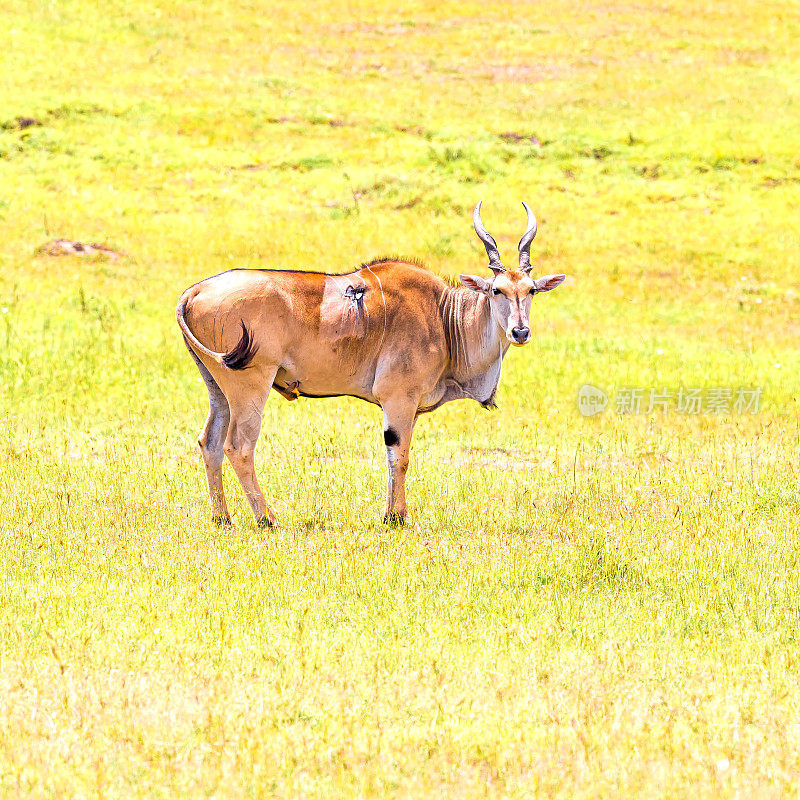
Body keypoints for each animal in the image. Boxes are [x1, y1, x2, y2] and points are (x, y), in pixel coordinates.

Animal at [177, 202, 564, 524]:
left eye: (530, 290)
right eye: (497, 290)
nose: (520, 331)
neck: (443, 316)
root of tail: (194, 291)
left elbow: (393, 456)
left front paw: (390, 515)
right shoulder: (398, 398)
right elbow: (401, 456)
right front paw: (398, 518)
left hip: (217, 386)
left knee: (210, 442)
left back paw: (222, 518)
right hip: (250, 384)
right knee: (238, 446)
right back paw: (267, 519)